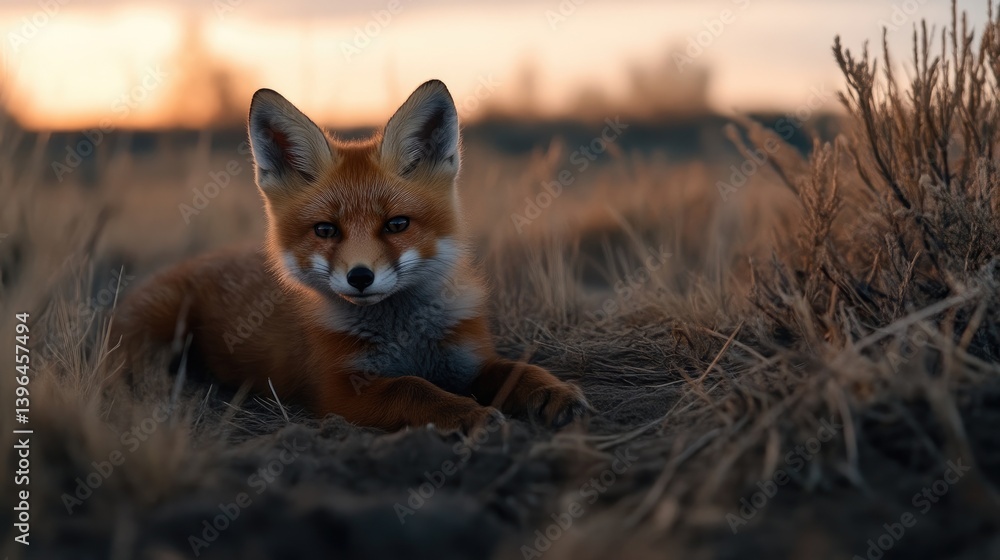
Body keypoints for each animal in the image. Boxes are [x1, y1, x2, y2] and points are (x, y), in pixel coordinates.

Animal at [112, 80, 590, 433]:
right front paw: (467, 414)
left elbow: (517, 369)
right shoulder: (342, 391)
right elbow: (414, 388)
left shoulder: (468, 359)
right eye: (326, 230)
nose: (360, 277)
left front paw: (553, 391)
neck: (406, 338)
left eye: (397, 224)